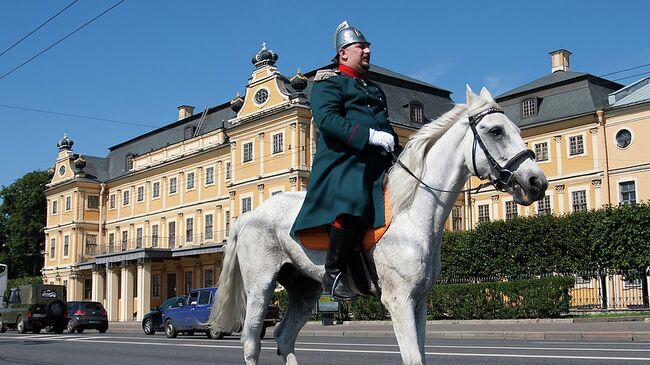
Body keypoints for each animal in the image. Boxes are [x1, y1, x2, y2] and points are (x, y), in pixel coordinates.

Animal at [209, 84, 548, 362]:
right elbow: (413, 358)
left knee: (284, 338)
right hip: (260, 286)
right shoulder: (398, 300)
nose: (537, 182)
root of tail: (249, 215)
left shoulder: (420, 301)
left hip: (305, 291)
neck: (410, 216)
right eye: (495, 131)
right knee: (251, 342)